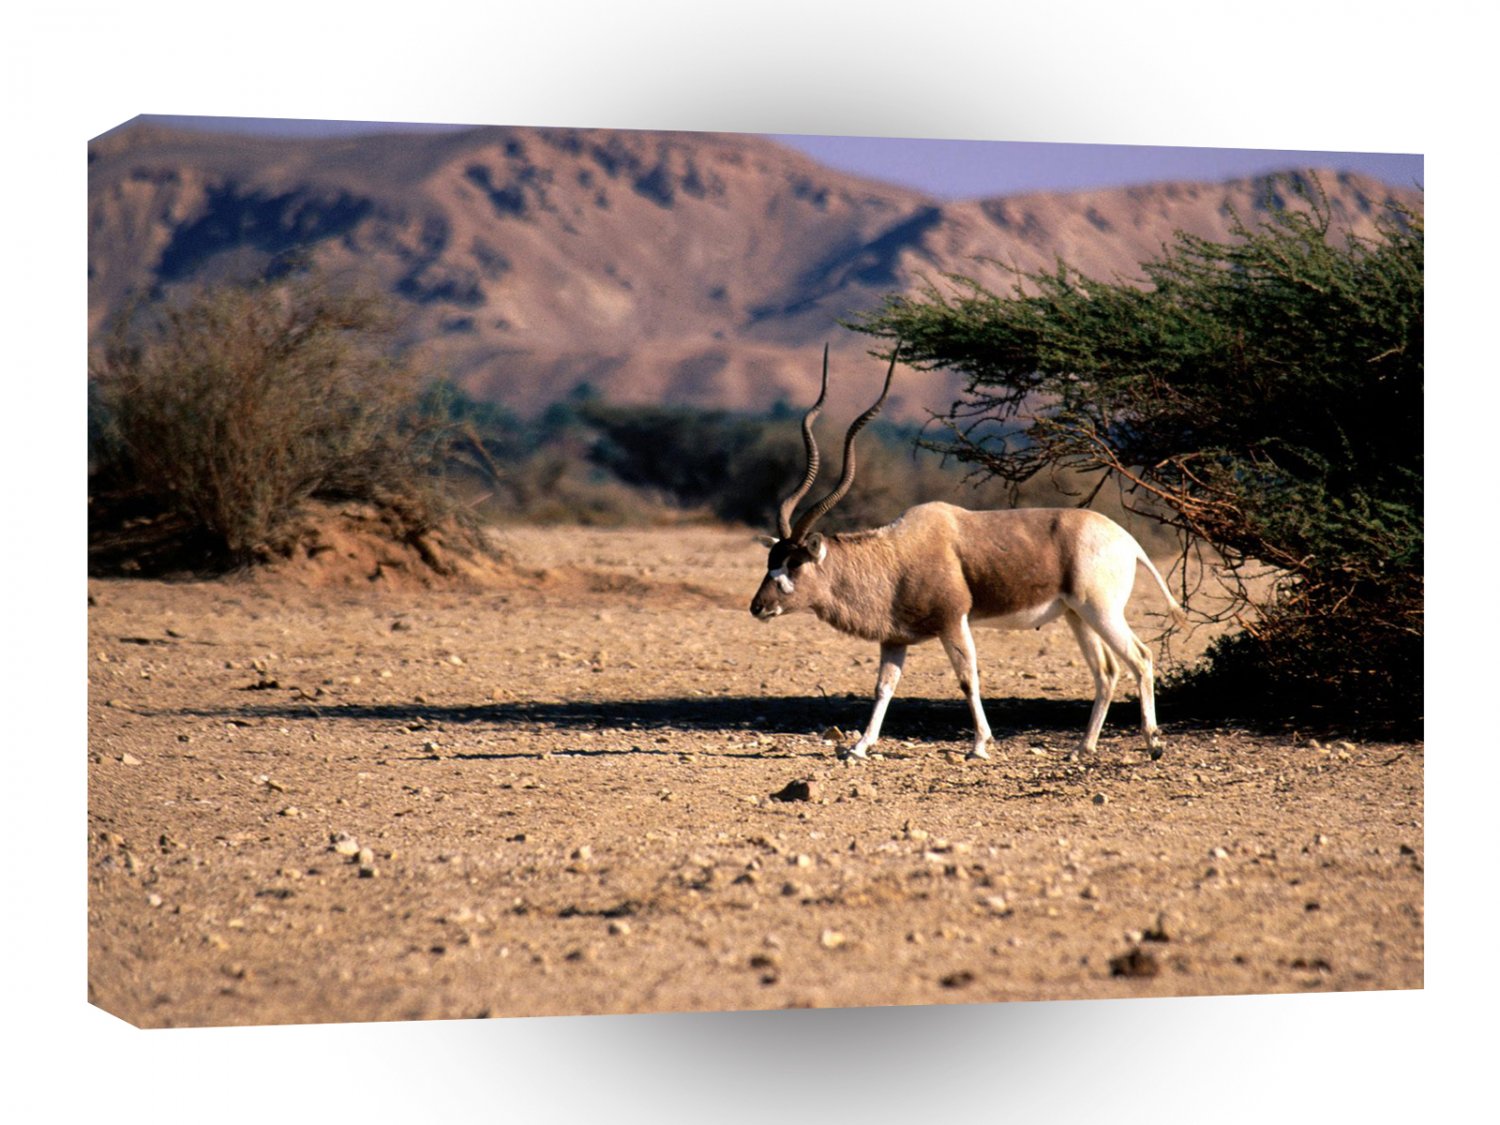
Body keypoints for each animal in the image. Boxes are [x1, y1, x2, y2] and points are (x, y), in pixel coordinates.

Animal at [749, 344, 1186, 763]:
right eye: (771, 562)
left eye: (794, 563)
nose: (757, 607)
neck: (895, 555)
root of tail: (1126, 540)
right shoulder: (894, 638)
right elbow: (883, 687)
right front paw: (858, 747)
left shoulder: (953, 622)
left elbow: (967, 679)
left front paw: (979, 745)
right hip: (1077, 615)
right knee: (1107, 671)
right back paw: (1082, 748)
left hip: (1101, 611)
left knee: (1141, 658)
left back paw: (1153, 744)